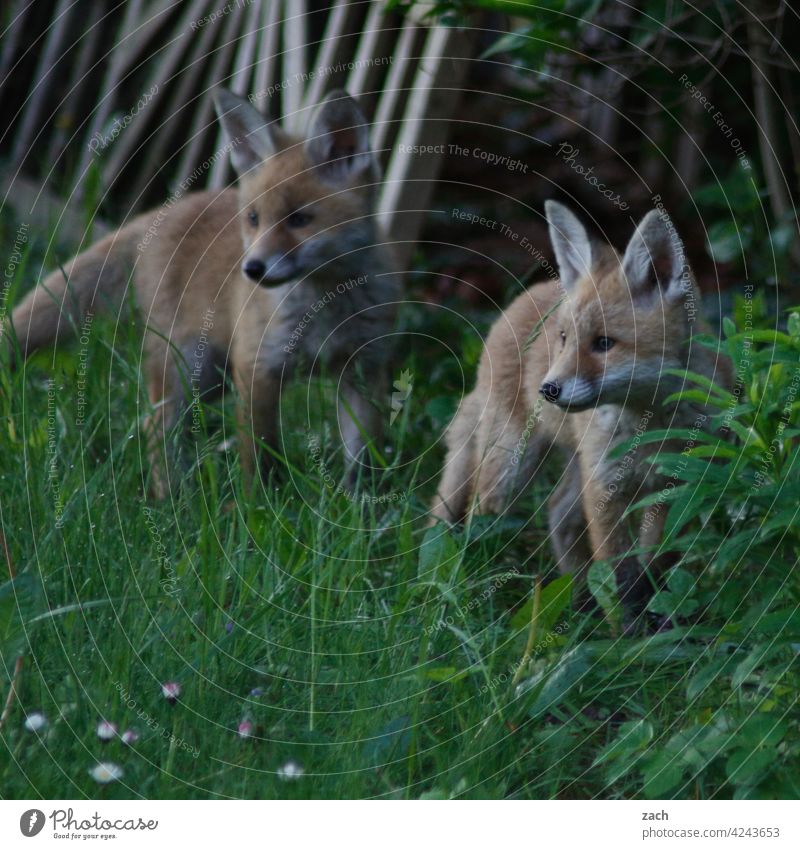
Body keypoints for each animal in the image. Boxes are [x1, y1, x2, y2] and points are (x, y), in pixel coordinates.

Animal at [6, 88, 400, 494]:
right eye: (254, 218)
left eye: (300, 220)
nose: (252, 269)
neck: (325, 305)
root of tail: (159, 213)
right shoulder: (257, 367)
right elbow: (259, 453)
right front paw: (257, 501)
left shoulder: (364, 368)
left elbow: (362, 452)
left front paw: (359, 501)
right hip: (187, 366)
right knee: (156, 426)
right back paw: (169, 497)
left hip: (212, 377)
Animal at [432, 202, 732, 612]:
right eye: (564, 339)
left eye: (604, 343)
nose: (548, 389)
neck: (650, 425)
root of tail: (527, 294)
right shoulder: (604, 487)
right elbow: (620, 576)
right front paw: (628, 626)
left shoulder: (681, 485)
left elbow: (660, 560)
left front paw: (660, 614)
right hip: (512, 466)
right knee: (481, 515)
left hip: (575, 467)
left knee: (557, 513)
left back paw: (578, 600)